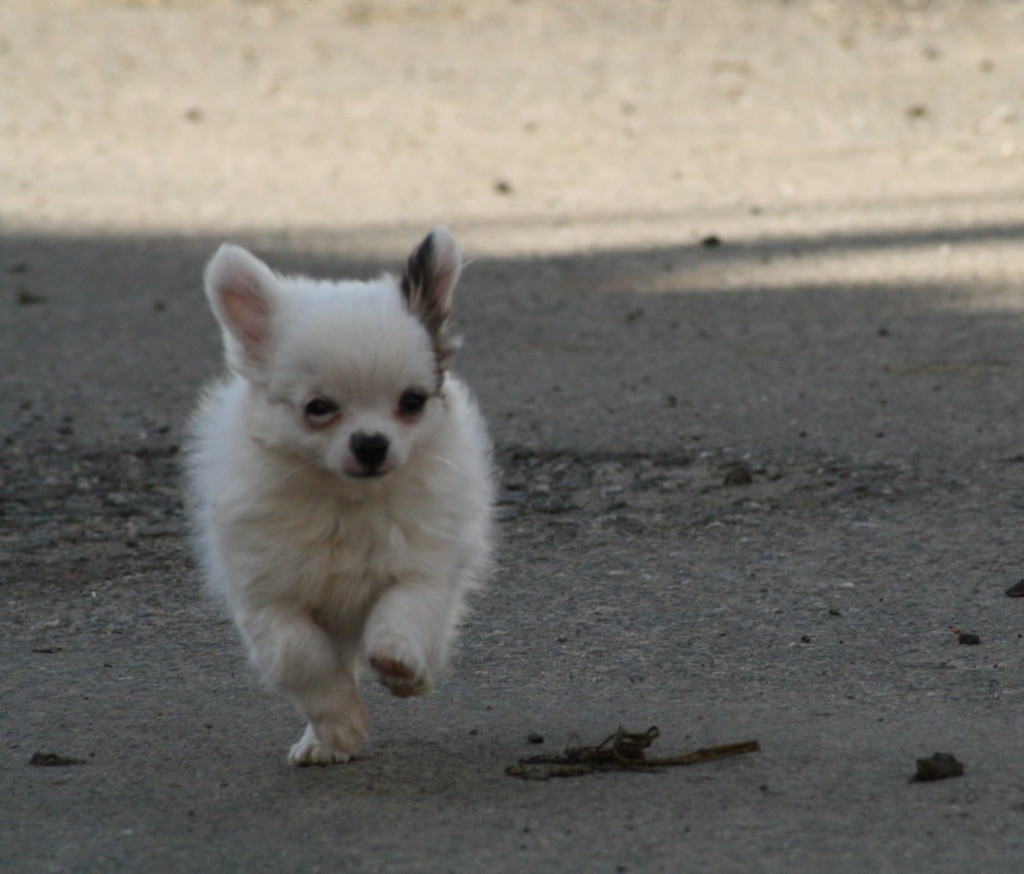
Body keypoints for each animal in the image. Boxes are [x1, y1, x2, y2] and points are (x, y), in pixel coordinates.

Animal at [190, 231, 497, 765]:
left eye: (412, 402)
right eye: (318, 408)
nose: (371, 443)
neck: (348, 499)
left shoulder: (424, 564)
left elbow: (404, 607)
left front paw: (399, 661)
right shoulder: (268, 595)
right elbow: (301, 657)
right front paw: (339, 726)